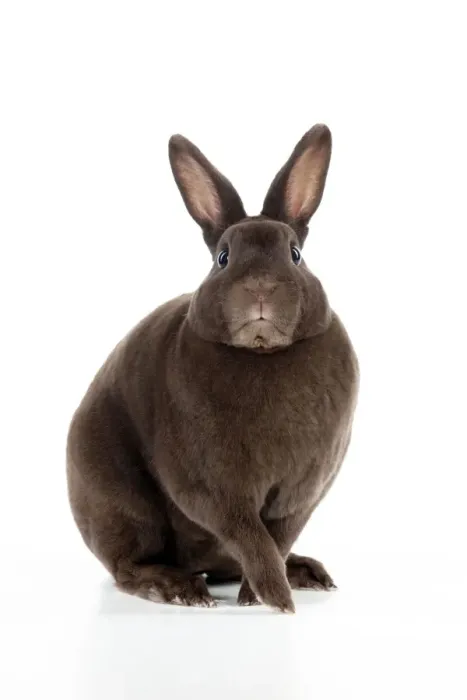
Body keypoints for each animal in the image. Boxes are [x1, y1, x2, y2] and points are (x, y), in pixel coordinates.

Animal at [66, 123, 359, 613]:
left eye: (295, 254)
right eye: (222, 257)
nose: (260, 286)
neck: (261, 355)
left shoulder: (301, 491)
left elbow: (276, 536)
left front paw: (260, 595)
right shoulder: (213, 487)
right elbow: (250, 536)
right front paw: (276, 599)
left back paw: (306, 572)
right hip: (120, 504)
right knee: (128, 566)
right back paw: (177, 588)